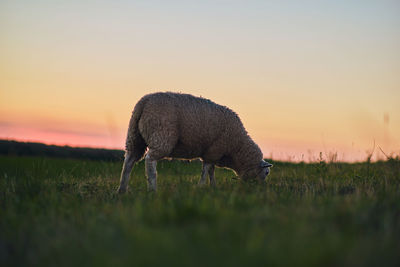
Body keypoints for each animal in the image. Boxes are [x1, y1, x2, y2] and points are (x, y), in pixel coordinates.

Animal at [115, 91, 272, 193]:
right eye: (267, 173)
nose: (261, 190)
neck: (237, 148)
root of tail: (144, 102)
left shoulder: (212, 152)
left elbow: (211, 171)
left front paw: (213, 187)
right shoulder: (214, 150)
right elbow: (206, 170)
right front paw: (201, 186)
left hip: (134, 137)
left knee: (128, 162)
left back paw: (122, 189)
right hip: (161, 135)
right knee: (150, 160)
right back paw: (152, 188)